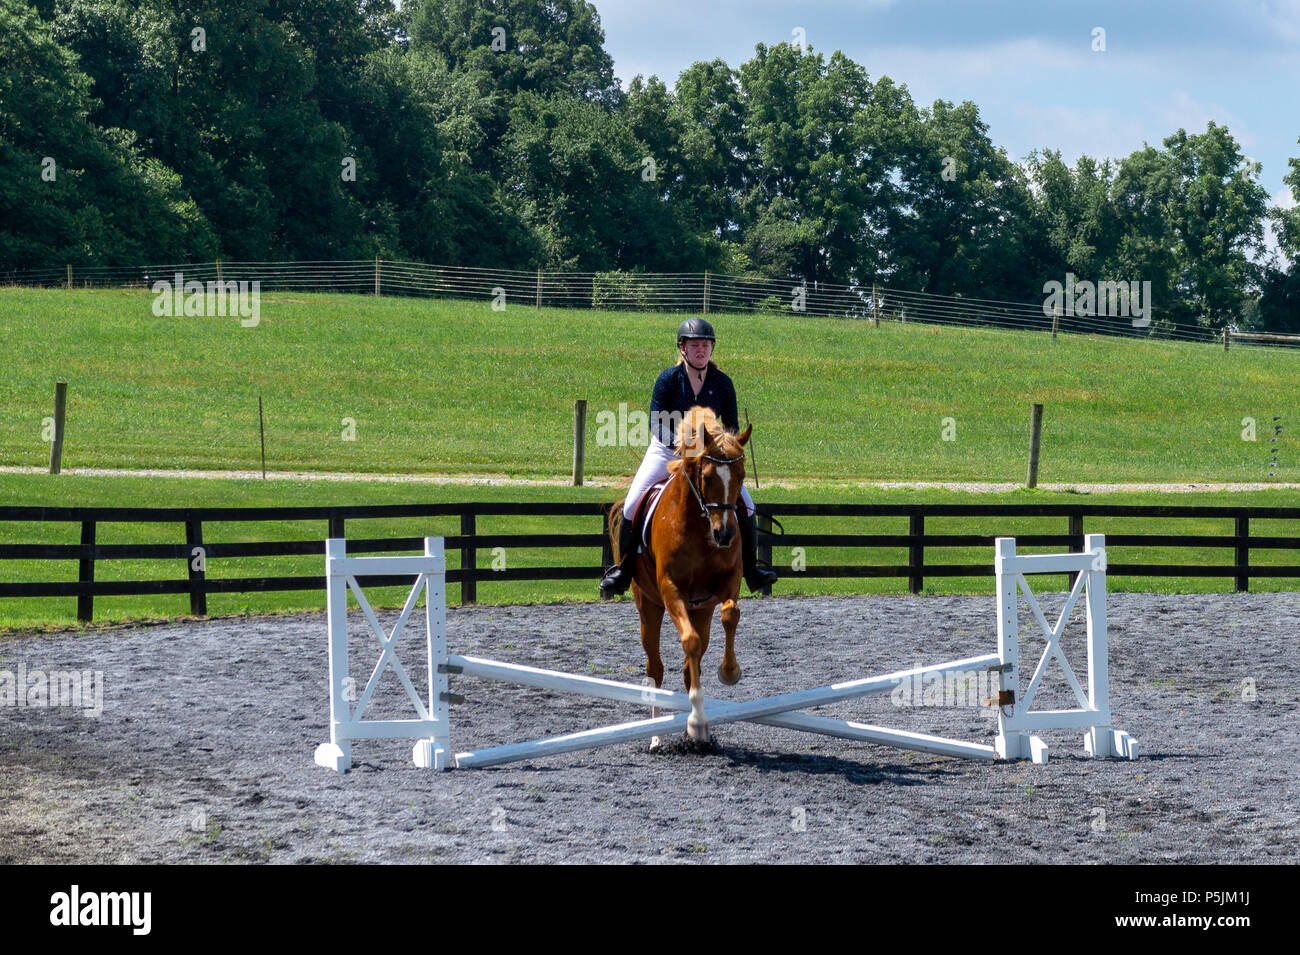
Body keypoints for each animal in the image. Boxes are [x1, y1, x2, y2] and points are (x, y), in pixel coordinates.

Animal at [605, 402, 754, 748]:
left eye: (741, 475)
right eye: (708, 476)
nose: (725, 535)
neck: (700, 527)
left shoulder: (728, 581)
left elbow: (730, 615)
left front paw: (730, 672)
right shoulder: (670, 589)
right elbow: (689, 641)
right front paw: (697, 721)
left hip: (700, 611)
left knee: (691, 664)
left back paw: (695, 734)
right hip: (648, 607)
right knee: (656, 668)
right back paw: (657, 737)